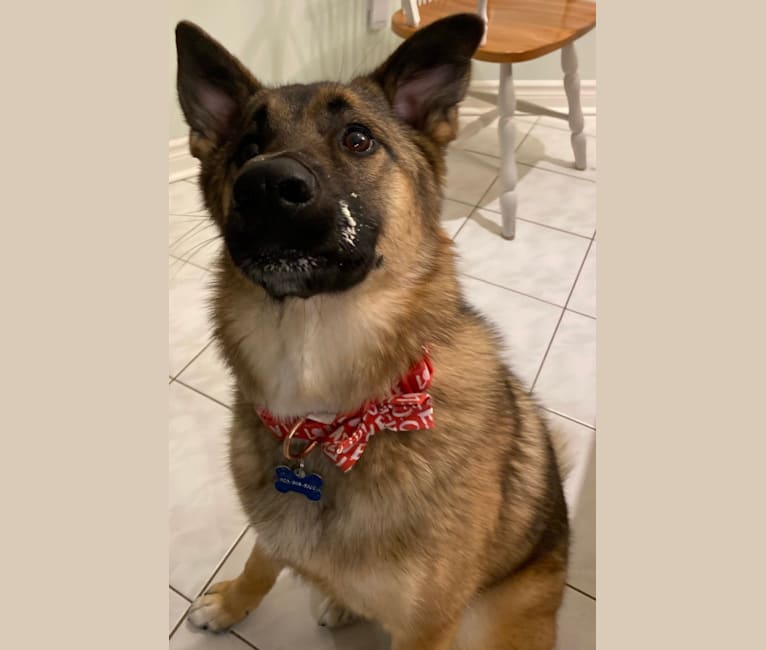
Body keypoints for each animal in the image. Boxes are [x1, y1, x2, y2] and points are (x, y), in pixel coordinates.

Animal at [174, 11, 568, 648]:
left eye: (357, 139)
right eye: (248, 148)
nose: (266, 185)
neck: (326, 421)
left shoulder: (428, 626)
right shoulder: (275, 527)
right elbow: (261, 558)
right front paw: (233, 601)